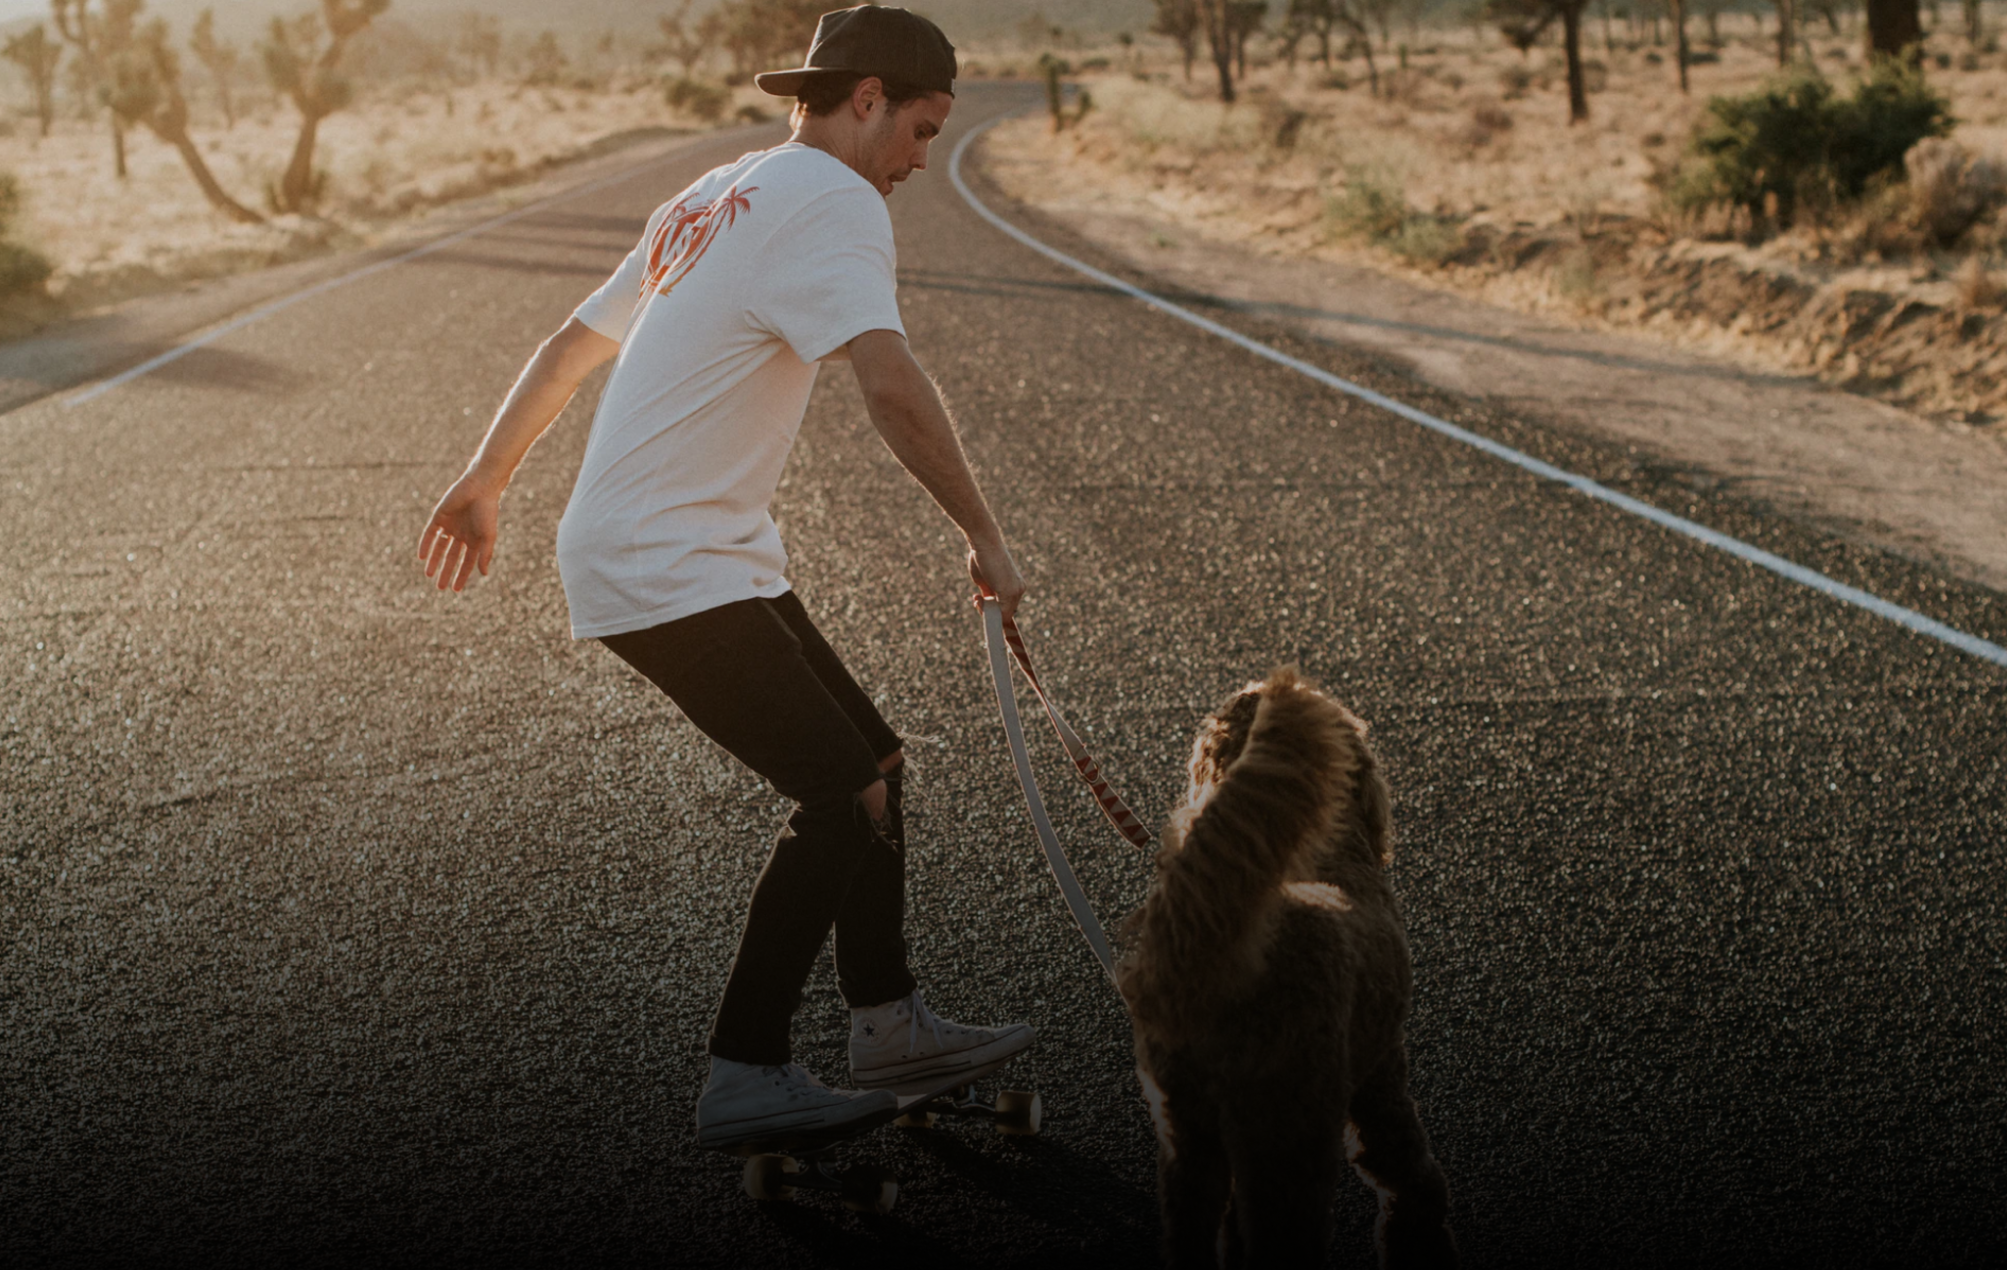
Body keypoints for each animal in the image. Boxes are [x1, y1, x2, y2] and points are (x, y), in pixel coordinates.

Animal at [1115, 670, 1461, 1259]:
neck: (1334, 853)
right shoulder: (1380, 1075)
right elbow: (1405, 1170)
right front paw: (1418, 1232)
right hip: (1290, 1130)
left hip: (1189, 1129)